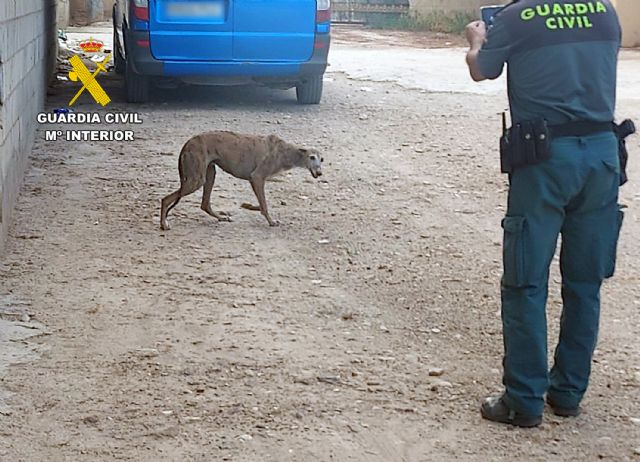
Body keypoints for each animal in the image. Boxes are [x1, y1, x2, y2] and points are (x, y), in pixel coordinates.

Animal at [158, 131, 322, 230]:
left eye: (322, 159)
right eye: (311, 157)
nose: (319, 173)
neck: (285, 152)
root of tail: (188, 143)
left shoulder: (256, 180)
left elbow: (261, 205)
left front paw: (251, 208)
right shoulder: (257, 178)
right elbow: (264, 206)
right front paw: (271, 221)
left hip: (209, 174)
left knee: (204, 204)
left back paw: (221, 217)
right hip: (195, 180)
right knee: (165, 199)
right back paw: (164, 224)